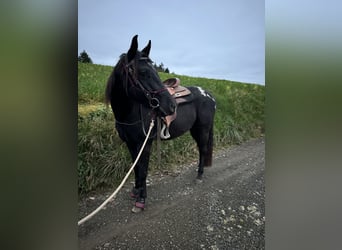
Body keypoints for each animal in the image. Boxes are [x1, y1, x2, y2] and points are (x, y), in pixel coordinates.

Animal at [105, 34, 215, 211]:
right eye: (143, 72)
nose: (171, 106)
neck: (130, 113)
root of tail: (208, 95)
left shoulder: (145, 143)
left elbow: (143, 170)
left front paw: (141, 200)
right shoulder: (131, 143)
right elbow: (136, 167)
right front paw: (136, 191)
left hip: (202, 129)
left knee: (202, 149)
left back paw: (199, 175)